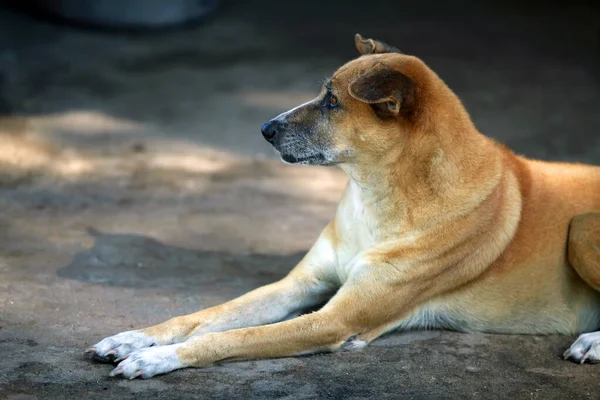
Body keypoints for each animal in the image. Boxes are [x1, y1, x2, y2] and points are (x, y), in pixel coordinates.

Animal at [84, 33, 600, 378]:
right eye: (322, 93)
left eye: (332, 102)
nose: (265, 129)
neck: (375, 196)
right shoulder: (299, 285)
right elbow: (206, 316)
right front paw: (133, 337)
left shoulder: (336, 320)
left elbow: (231, 336)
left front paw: (156, 358)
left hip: (581, 228)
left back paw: (590, 342)